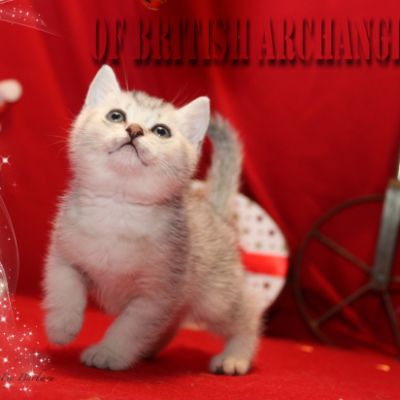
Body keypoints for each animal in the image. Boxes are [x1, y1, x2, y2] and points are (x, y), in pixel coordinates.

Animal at [42, 65, 263, 375]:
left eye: (161, 131)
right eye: (116, 116)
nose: (134, 130)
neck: (118, 209)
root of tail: (214, 209)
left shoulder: (155, 295)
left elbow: (128, 327)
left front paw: (108, 353)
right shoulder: (63, 256)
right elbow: (66, 288)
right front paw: (62, 326)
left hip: (216, 299)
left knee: (247, 315)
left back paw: (236, 357)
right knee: (172, 322)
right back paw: (149, 350)